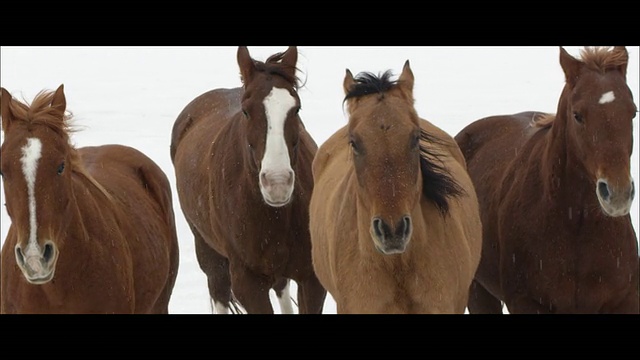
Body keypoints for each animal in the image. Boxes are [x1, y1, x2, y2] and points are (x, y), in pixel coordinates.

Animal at [170, 46, 328, 314]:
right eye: (246, 111)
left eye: (295, 108)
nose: (277, 183)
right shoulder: (248, 283)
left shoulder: (311, 279)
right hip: (208, 252)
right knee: (219, 293)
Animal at [456, 46, 640, 314]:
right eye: (578, 115)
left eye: (633, 112)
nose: (617, 194)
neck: (576, 224)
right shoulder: (527, 303)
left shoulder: (624, 301)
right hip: (478, 291)